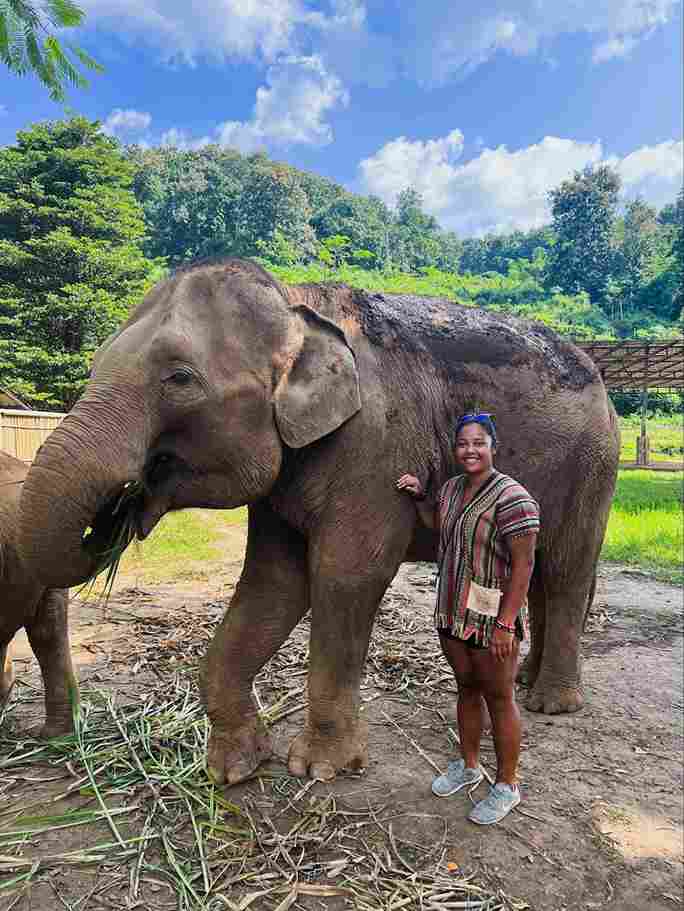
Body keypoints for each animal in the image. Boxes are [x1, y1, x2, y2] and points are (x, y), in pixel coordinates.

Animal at [18, 258, 619, 783]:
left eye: (180, 378)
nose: (118, 512)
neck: (296, 305)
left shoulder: (374, 445)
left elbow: (345, 576)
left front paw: (321, 769)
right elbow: (272, 584)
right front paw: (231, 769)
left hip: (593, 466)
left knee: (565, 570)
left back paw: (551, 703)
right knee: (536, 572)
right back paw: (525, 680)